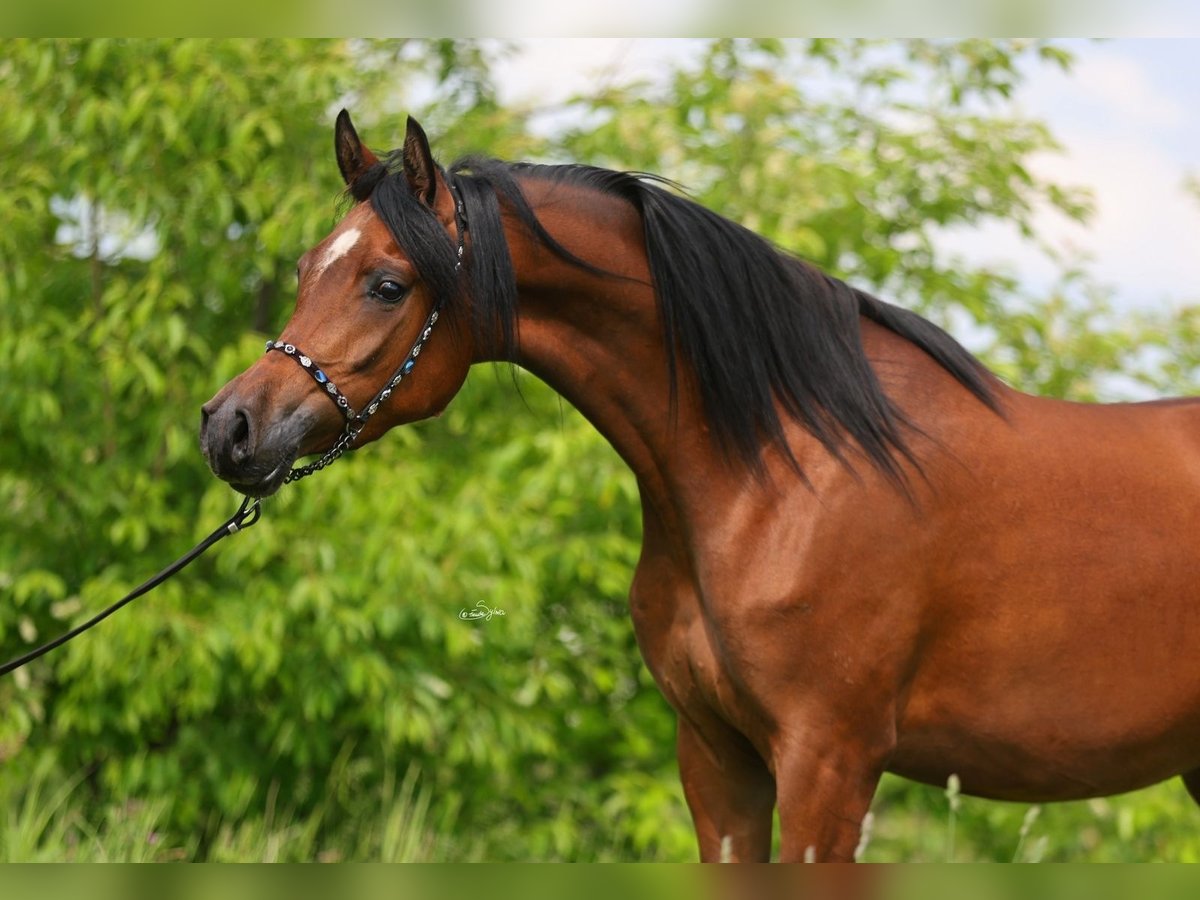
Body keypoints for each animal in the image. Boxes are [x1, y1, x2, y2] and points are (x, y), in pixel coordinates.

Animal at [200, 110, 1200, 861]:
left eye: (386, 283)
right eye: (304, 270)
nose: (229, 427)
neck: (786, 469)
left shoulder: (829, 762)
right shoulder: (718, 759)